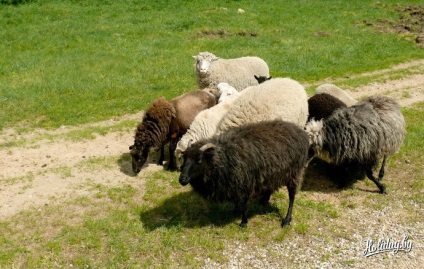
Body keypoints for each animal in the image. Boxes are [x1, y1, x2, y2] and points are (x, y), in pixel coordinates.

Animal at [177, 119, 310, 226]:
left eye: (199, 160)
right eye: (184, 157)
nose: (182, 179)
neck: (223, 158)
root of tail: (300, 132)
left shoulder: (244, 183)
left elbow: (243, 205)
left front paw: (243, 222)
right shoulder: (234, 184)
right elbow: (237, 202)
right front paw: (235, 211)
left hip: (295, 173)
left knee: (292, 196)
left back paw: (287, 220)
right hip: (272, 173)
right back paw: (263, 201)